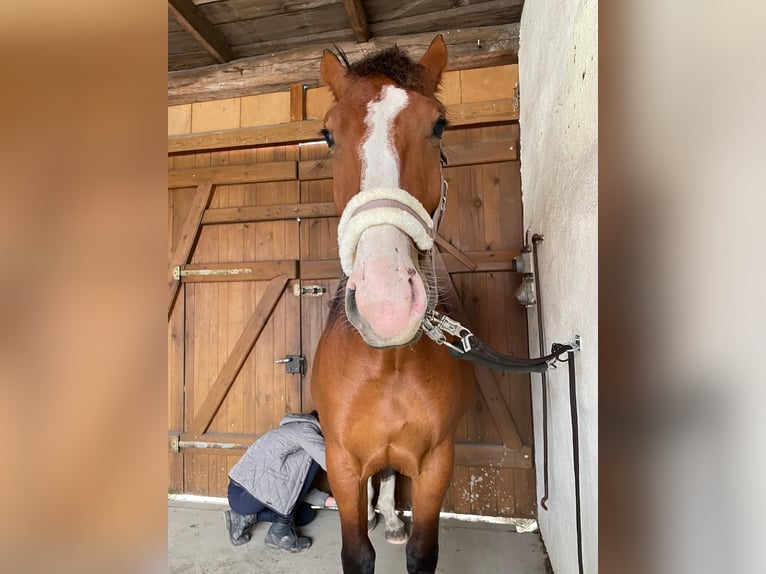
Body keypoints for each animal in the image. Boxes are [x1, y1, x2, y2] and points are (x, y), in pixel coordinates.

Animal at [312, 35, 474, 574]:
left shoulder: (437, 462)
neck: (388, 360)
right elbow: (356, 551)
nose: (386, 302)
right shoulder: (341, 459)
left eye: (439, 125)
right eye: (328, 135)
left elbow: (423, 551)